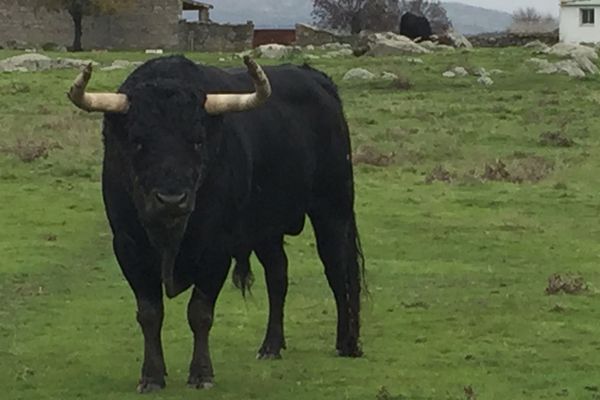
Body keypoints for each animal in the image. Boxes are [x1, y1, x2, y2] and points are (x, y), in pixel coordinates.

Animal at [73, 57, 368, 394]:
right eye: (137, 142)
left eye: (197, 141)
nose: (172, 199)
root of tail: (315, 78)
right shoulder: (128, 246)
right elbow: (149, 313)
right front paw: (151, 376)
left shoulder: (216, 249)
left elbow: (200, 313)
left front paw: (201, 374)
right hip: (266, 228)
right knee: (277, 276)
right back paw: (271, 345)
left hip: (333, 210)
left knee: (338, 273)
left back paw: (346, 343)